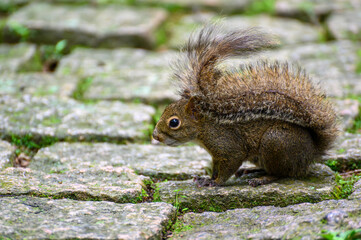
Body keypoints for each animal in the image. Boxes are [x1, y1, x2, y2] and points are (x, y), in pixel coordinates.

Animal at [152, 24, 338, 187]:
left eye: (174, 122)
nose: (155, 136)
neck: (205, 129)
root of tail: (312, 151)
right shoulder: (216, 156)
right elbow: (216, 168)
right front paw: (206, 179)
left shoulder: (229, 146)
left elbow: (228, 166)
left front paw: (215, 183)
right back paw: (252, 171)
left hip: (275, 142)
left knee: (282, 173)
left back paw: (262, 179)